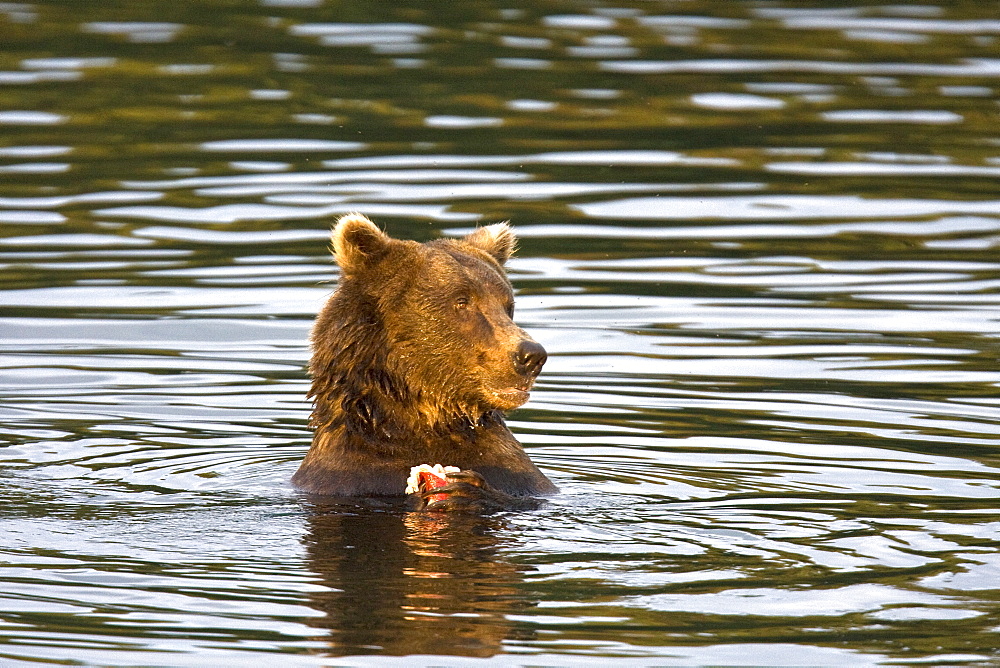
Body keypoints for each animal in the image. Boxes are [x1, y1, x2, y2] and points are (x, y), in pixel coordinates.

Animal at [292, 214, 560, 512]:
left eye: (507, 304)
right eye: (462, 301)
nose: (531, 355)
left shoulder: (519, 477)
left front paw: (464, 489)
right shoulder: (349, 476)